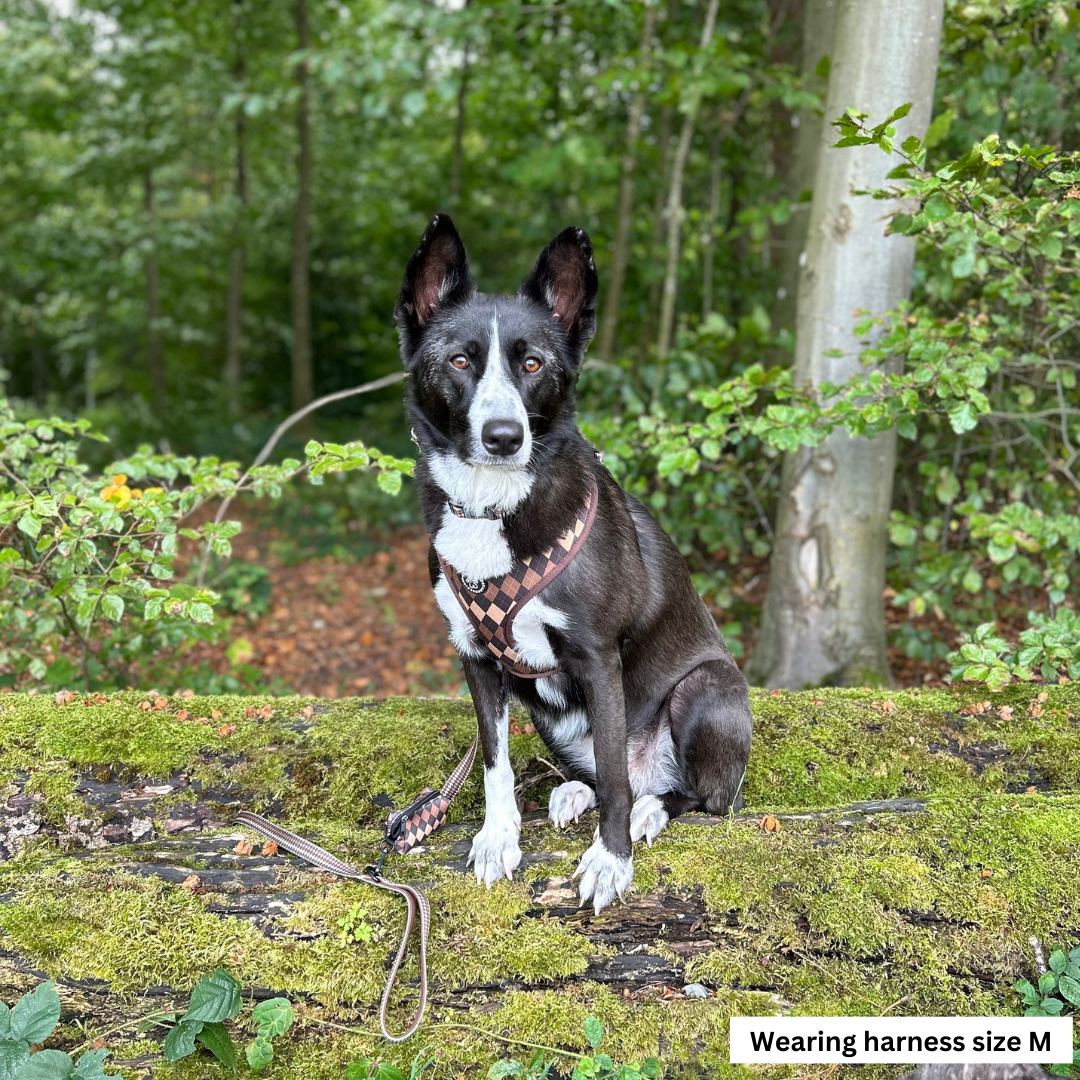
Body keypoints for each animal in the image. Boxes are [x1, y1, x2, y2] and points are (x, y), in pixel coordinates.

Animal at [395, 210, 751, 911]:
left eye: (533, 363)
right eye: (459, 360)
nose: (505, 437)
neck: (493, 509)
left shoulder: (596, 658)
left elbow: (615, 774)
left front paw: (610, 862)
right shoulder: (475, 656)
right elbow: (495, 763)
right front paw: (498, 838)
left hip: (705, 689)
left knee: (695, 795)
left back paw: (651, 809)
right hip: (547, 712)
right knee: (595, 771)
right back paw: (572, 791)